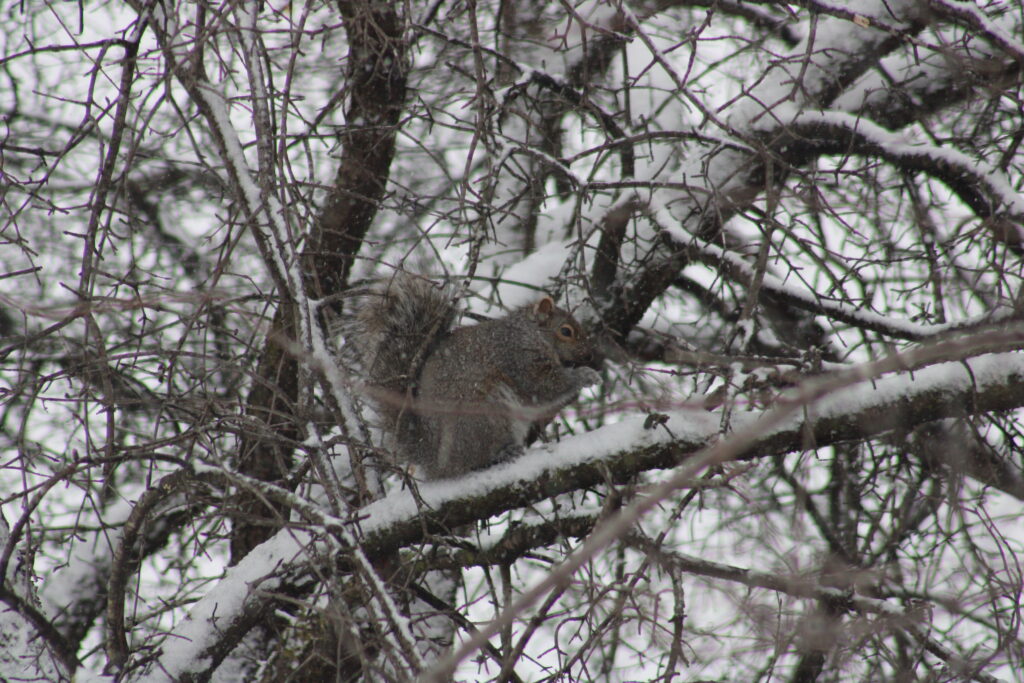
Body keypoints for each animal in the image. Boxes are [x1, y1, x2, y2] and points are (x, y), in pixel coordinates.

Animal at [349, 273, 603, 479]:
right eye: (566, 331)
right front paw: (585, 375)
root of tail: (434, 461)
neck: (530, 334)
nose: (590, 355)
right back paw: (503, 453)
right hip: (486, 413)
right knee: (477, 460)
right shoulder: (517, 357)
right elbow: (545, 386)